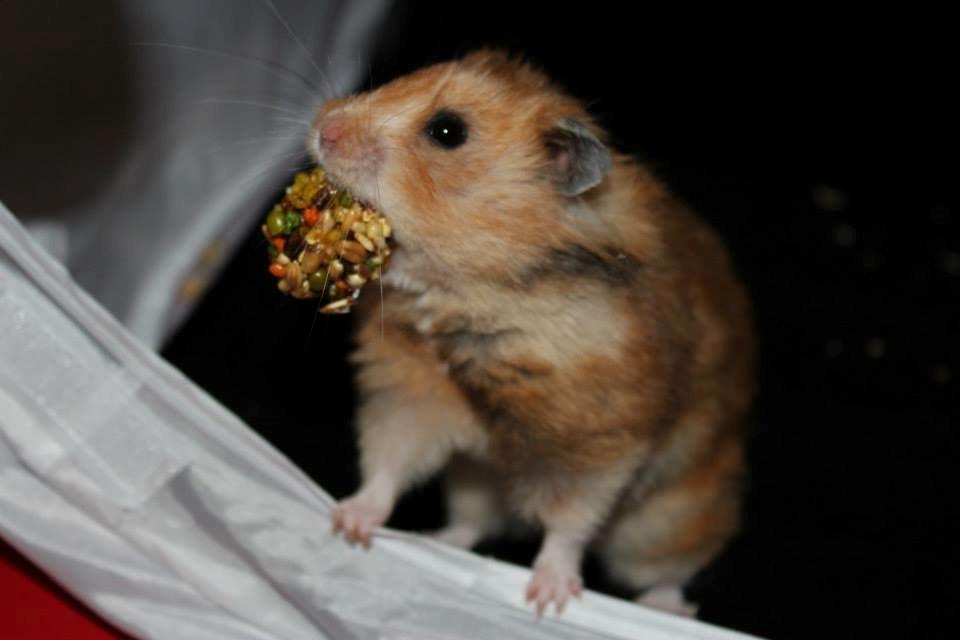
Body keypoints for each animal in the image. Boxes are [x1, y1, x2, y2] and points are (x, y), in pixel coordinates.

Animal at [311, 50, 755, 617]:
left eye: (448, 131)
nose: (322, 127)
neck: (475, 293)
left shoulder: (599, 441)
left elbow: (570, 522)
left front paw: (547, 599)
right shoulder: (409, 391)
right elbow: (389, 462)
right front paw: (348, 524)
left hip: (668, 521)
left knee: (670, 571)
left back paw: (664, 609)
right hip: (475, 483)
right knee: (472, 524)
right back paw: (436, 540)